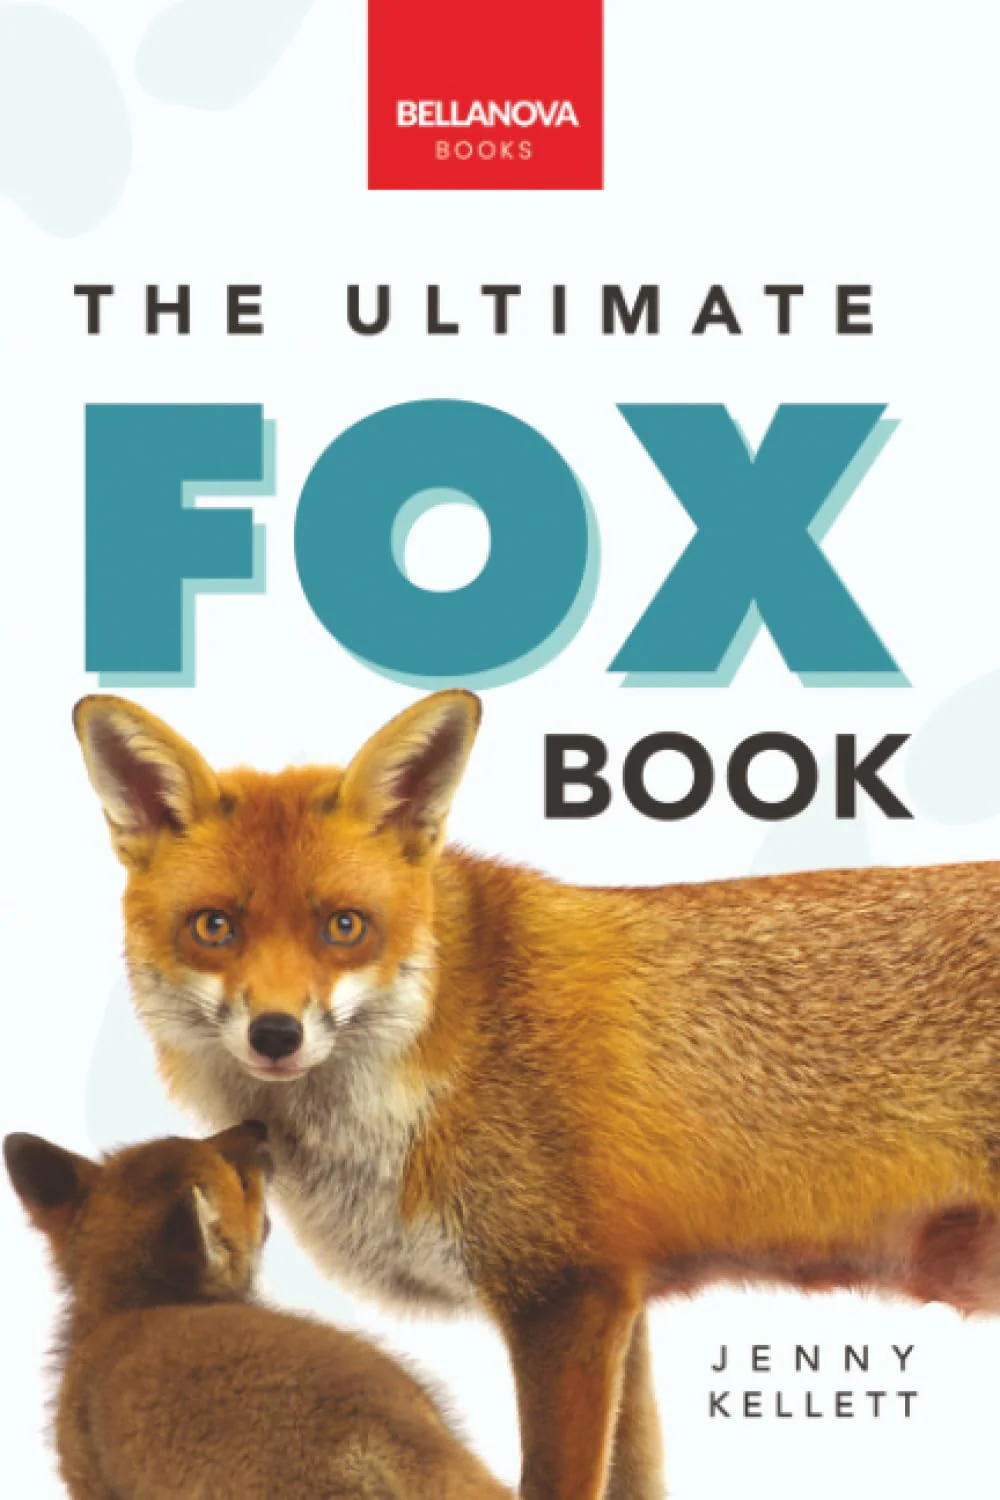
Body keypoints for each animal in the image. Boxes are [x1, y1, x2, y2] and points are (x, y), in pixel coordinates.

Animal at [71, 688, 1000, 1500]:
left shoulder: (565, 1296)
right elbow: (637, 1478)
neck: (448, 1048)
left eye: (344, 927)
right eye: (214, 927)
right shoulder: (621, 1299)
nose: (275, 1034)